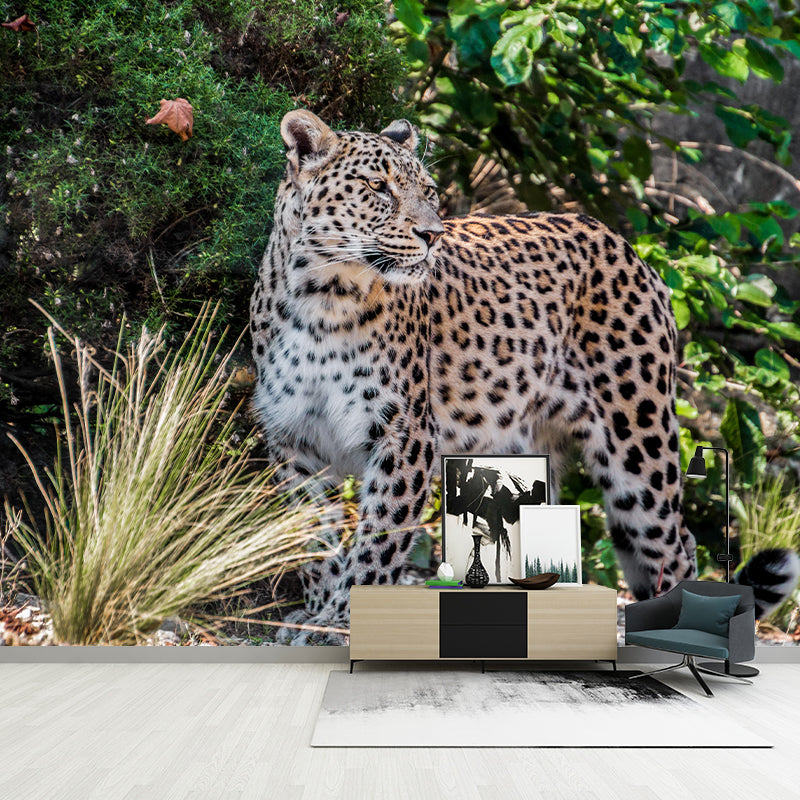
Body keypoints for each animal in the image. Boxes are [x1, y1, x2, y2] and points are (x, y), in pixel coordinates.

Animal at [250, 109, 800, 643]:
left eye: (428, 191)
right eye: (377, 187)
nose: (432, 235)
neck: (322, 297)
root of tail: (623, 243)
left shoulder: (404, 438)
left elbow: (378, 542)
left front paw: (342, 621)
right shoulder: (294, 440)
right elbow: (309, 541)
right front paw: (314, 616)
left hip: (638, 451)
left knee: (675, 545)